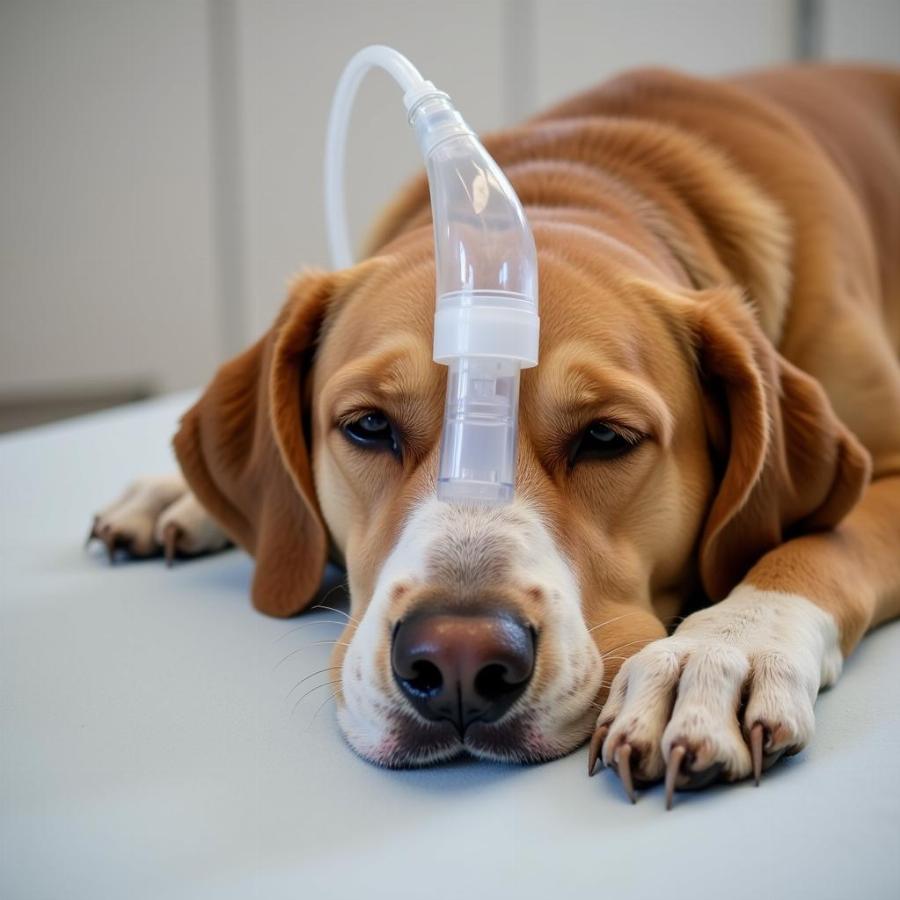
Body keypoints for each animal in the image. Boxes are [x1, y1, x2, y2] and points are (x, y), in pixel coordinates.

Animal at [89, 65, 900, 808]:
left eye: (607, 437)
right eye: (368, 426)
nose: (456, 662)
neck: (571, 182)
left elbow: (816, 547)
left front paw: (718, 654)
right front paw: (175, 493)